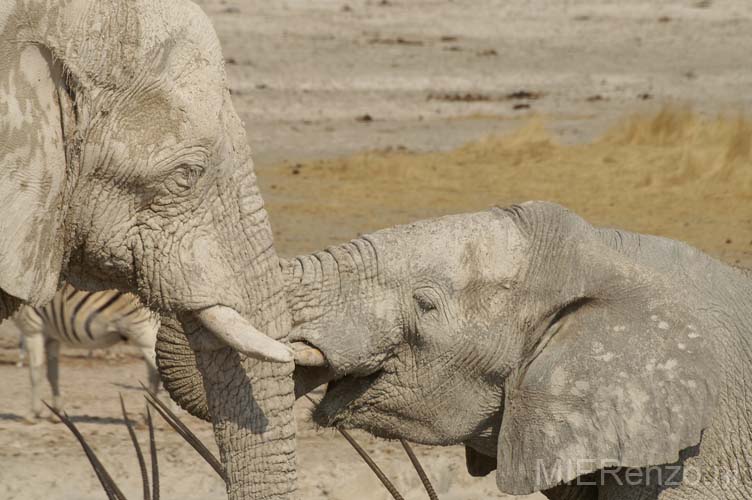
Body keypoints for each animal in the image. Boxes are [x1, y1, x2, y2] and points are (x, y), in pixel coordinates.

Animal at [14, 284, 160, 420]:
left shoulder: (33, 330)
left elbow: (35, 373)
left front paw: (33, 413)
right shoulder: (52, 338)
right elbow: (52, 374)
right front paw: (56, 412)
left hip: (146, 336)